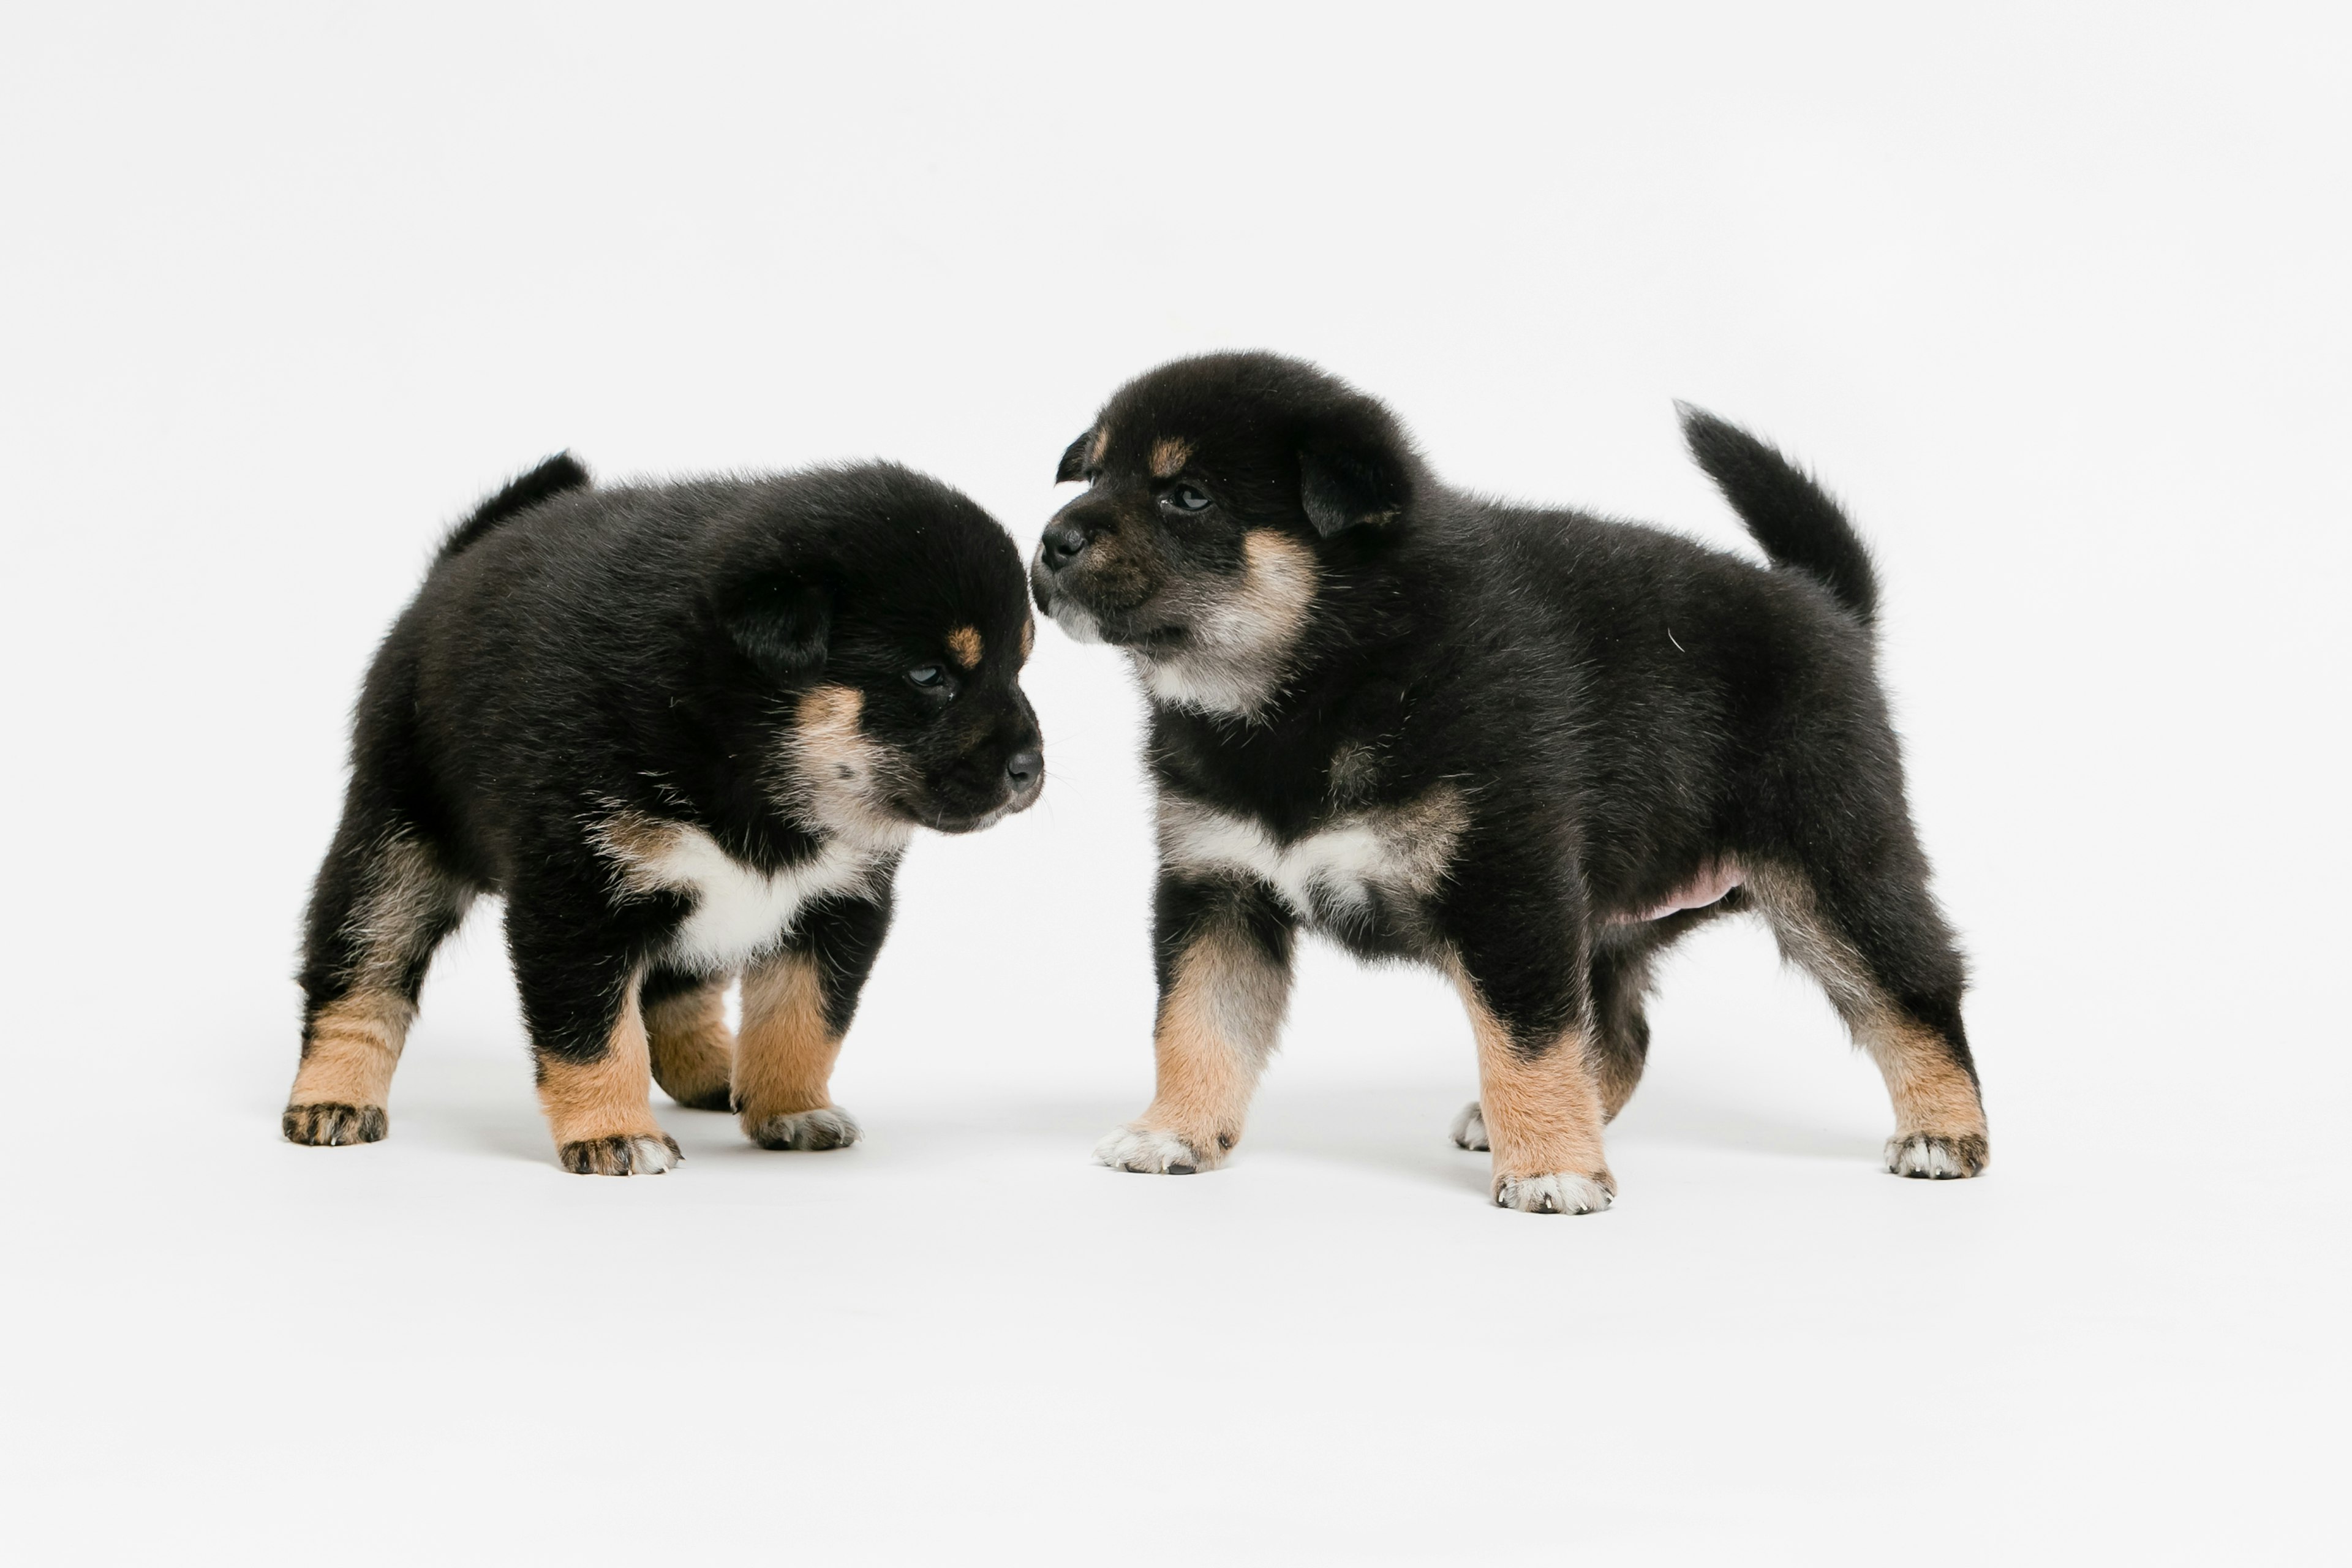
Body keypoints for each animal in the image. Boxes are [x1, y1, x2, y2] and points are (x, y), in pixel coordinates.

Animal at [284, 453, 1039, 1175]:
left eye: (1019, 667)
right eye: (929, 676)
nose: (1030, 768)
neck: (741, 756)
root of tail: (455, 563)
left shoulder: (837, 905)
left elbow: (804, 1020)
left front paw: (792, 1108)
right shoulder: (577, 898)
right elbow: (594, 1035)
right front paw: (612, 1132)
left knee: (678, 988)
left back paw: (717, 1070)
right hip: (396, 849)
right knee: (359, 977)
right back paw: (333, 1097)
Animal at [1030, 352, 1985, 1213]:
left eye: (1187, 496)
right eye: (1096, 473)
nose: (1049, 540)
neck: (1320, 680)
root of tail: (1828, 607)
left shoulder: (1507, 883)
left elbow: (1526, 1039)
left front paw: (1553, 1170)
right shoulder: (1217, 886)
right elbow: (1197, 1024)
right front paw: (1174, 1131)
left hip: (1834, 868)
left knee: (1913, 990)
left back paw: (1943, 1131)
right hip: (1611, 918)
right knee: (1622, 1033)